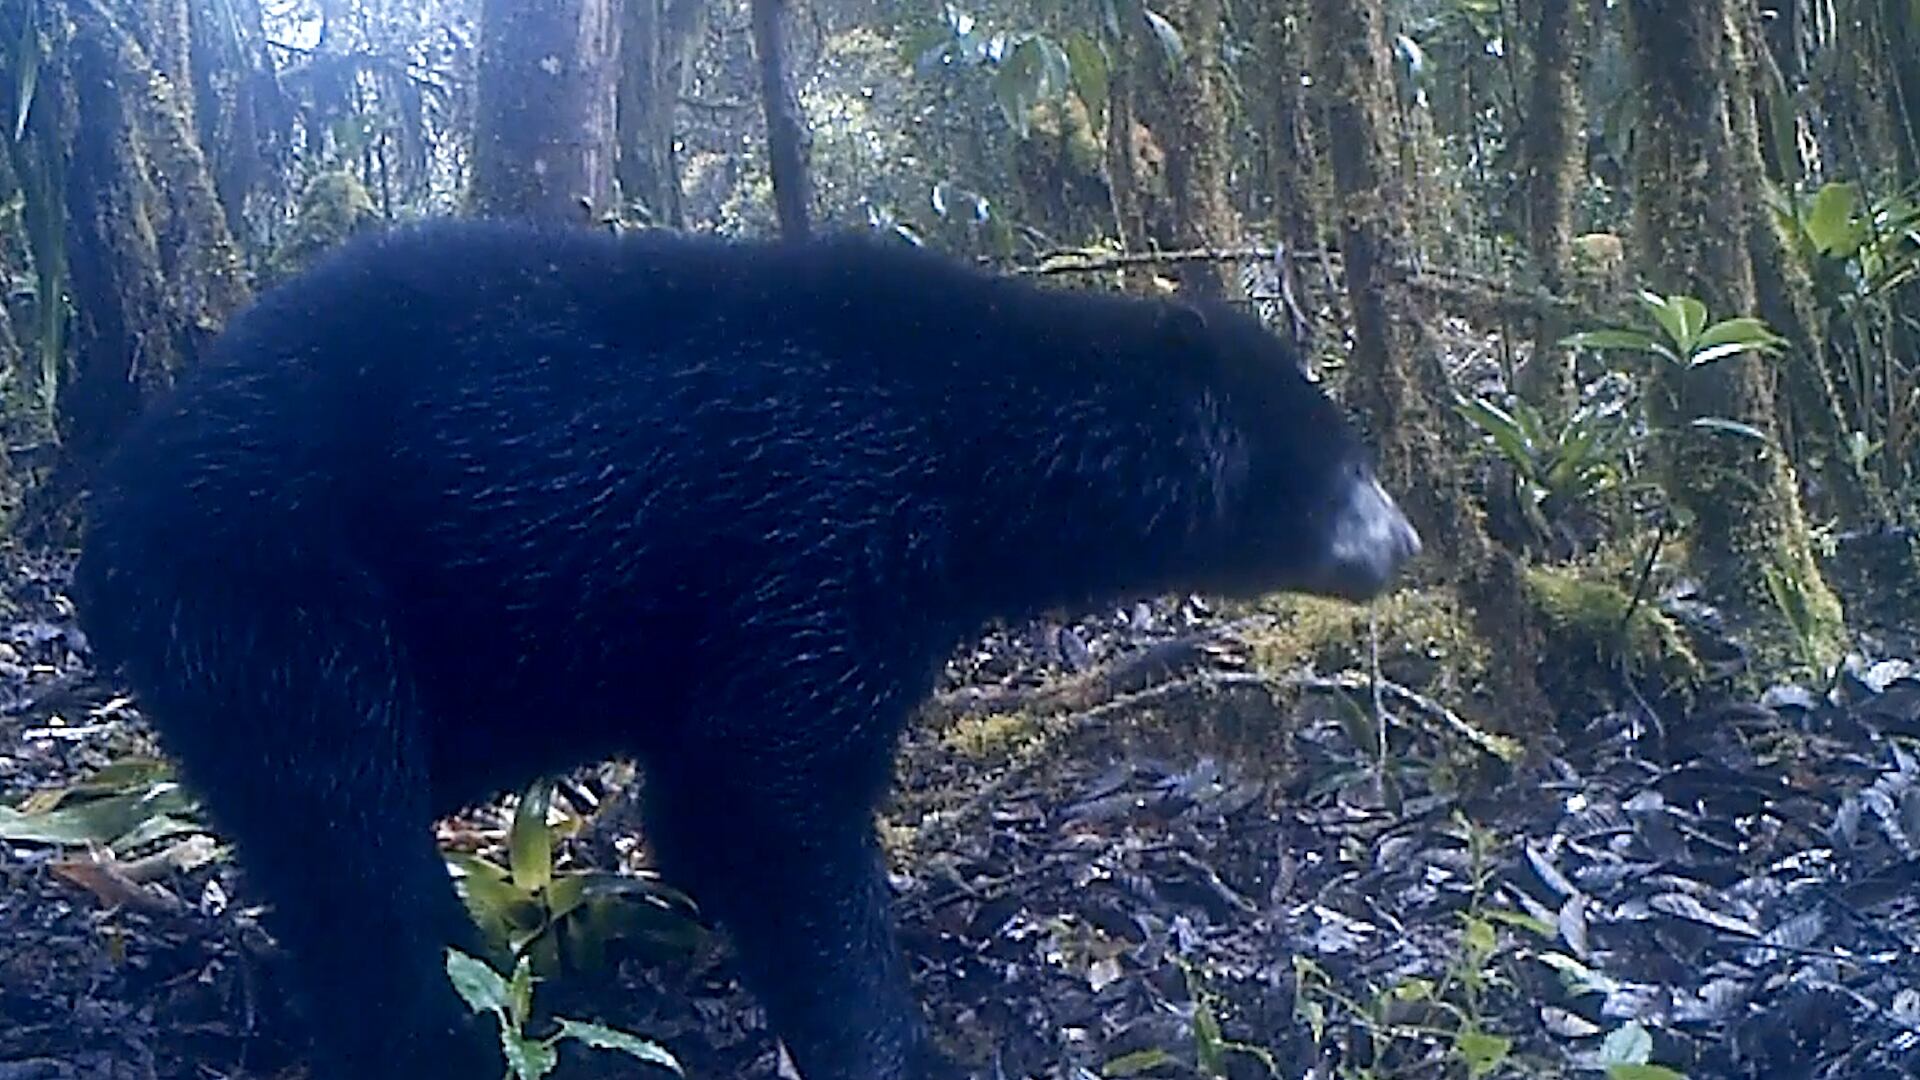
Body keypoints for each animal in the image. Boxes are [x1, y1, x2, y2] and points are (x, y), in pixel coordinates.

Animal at [72, 220, 1420, 1080]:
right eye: (1340, 460)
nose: (1406, 541)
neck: (970, 455)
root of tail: (109, 520)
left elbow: (712, 793)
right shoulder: (818, 524)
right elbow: (766, 791)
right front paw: (902, 1041)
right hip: (274, 580)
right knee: (352, 826)